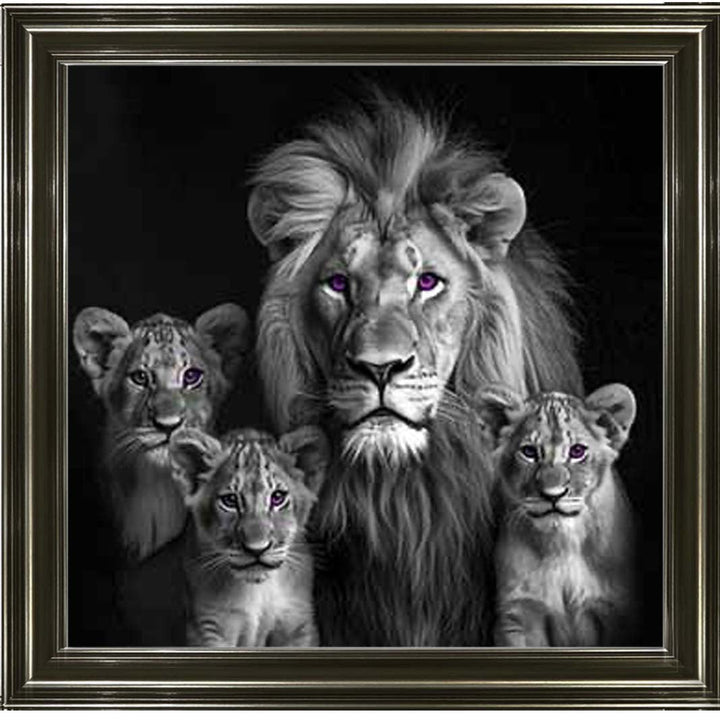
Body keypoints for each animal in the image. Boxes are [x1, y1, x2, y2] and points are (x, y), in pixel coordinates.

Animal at [168, 426, 327, 647]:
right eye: (230, 500)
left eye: (278, 497)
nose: (257, 549)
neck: (258, 590)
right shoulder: (208, 629)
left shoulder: (298, 625)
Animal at [475, 383, 636, 646]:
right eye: (529, 452)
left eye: (577, 451)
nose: (553, 495)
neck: (562, 544)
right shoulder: (519, 614)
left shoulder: (617, 611)